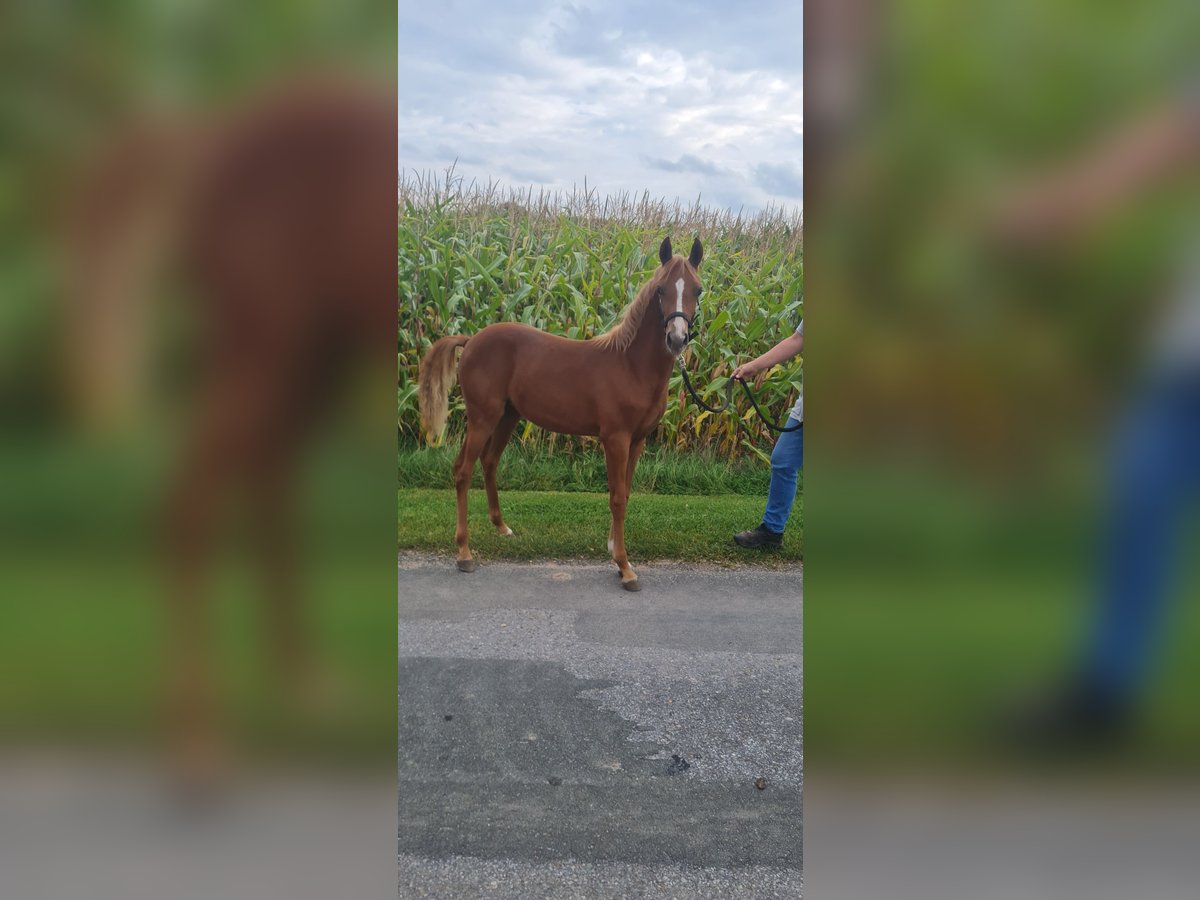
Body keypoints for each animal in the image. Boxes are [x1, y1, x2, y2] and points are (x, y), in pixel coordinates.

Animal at [420, 236, 700, 595]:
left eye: (698, 290)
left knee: (490, 462)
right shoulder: (616, 439)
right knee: (463, 471)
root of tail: (470, 340)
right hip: (482, 417)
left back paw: (502, 527)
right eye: (662, 289)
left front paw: (615, 550)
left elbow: (625, 492)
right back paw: (464, 553)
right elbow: (617, 498)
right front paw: (625, 567)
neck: (631, 366)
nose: (677, 338)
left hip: (508, 416)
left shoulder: (637, 440)